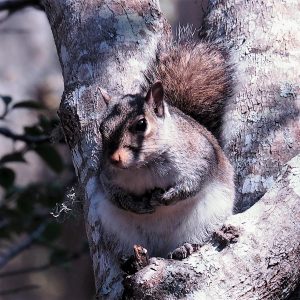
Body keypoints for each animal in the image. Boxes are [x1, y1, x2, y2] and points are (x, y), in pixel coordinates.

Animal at [96, 29, 234, 296]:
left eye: (141, 124)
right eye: (101, 128)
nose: (115, 159)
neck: (143, 166)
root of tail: (160, 250)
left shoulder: (200, 157)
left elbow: (194, 182)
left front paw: (166, 198)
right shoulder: (106, 176)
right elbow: (115, 195)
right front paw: (137, 204)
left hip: (208, 217)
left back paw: (185, 248)